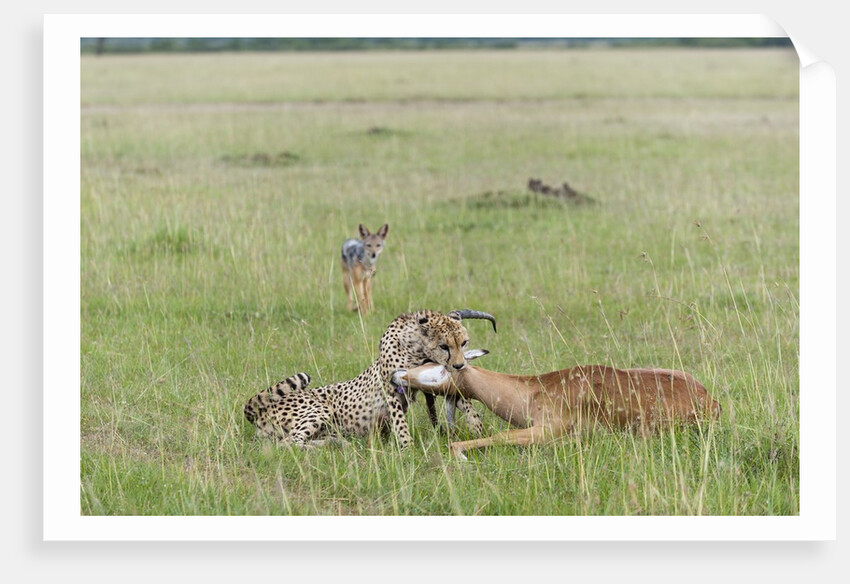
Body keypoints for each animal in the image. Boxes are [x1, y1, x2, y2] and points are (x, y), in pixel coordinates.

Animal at [243, 309, 496, 449]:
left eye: (463, 342)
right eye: (444, 345)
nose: (460, 365)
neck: (417, 348)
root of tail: (260, 411)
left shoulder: (434, 381)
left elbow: (466, 403)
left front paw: (479, 431)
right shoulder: (393, 387)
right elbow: (400, 424)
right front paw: (407, 450)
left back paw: (338, 443)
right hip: (319, 410)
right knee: (289, 443)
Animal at [393, 350, 721, 459]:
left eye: (438, 365)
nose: (398, 374)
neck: (535, 390)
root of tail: (710, 399)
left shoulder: (545, 431)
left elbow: (499, 436)